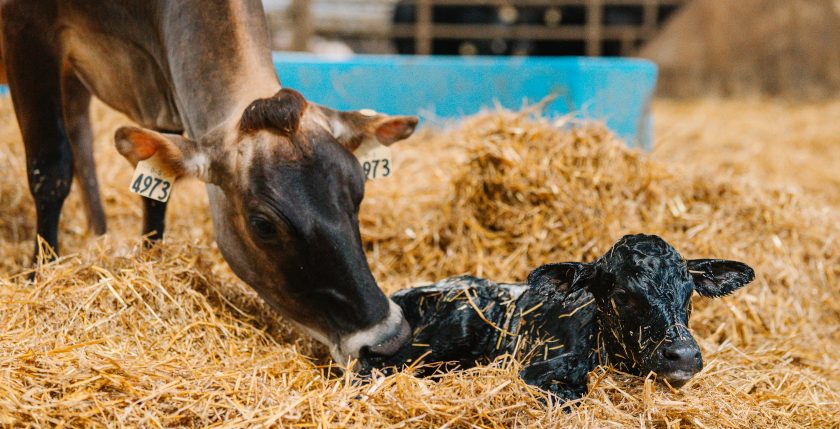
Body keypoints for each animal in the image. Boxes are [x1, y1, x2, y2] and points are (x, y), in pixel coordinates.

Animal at [0, 0, 417, 364]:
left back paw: (99, 233)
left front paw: (151, 260)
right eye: (263, 225)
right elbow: (51, 168)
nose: (389, 341)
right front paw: (39, 275)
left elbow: (155, 196)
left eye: (359, 191)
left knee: (82, 135)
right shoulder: (25, 31)